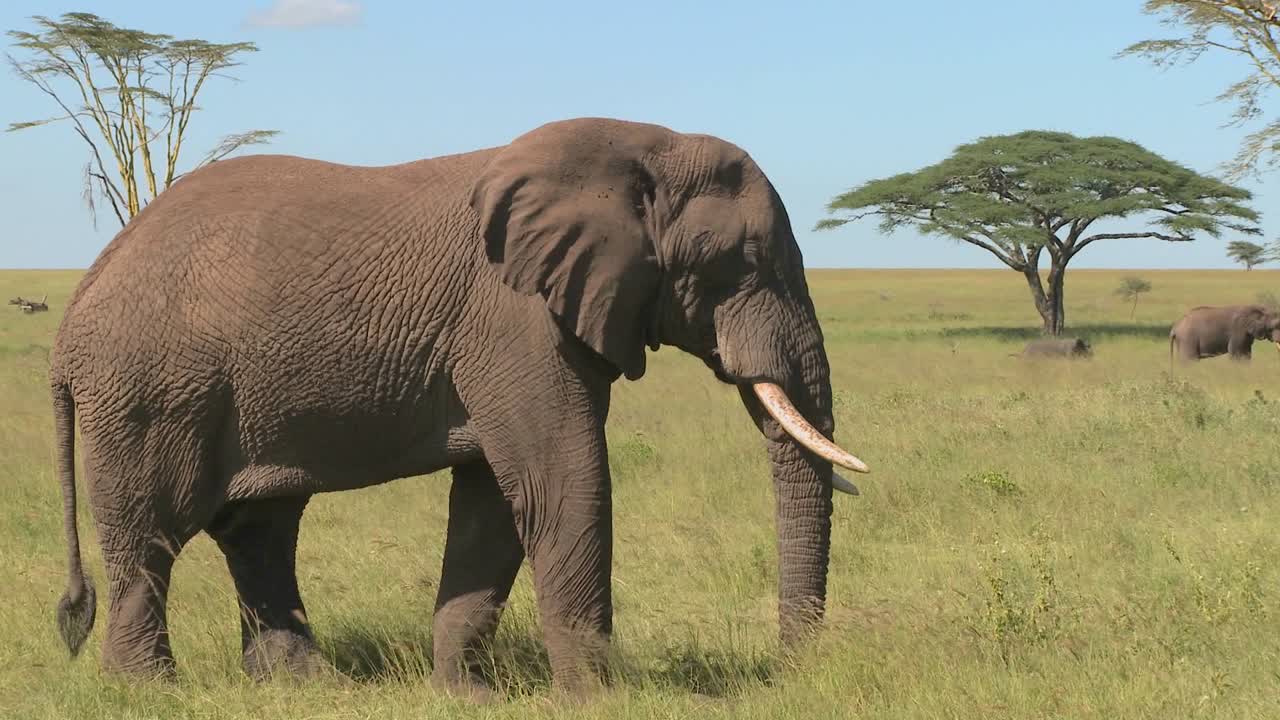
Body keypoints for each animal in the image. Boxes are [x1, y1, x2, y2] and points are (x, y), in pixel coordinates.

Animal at [47, 117, 869, 697]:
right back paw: (151, 692)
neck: (637, 145)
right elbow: (563, 481)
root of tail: (79, 299)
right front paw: (602, 700)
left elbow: (494, 502)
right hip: (148, 393)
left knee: (259, 529)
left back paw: (305, 688)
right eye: (746, 262)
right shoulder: (513, 319)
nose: (790, 670)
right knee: (153, 534)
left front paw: (466, 697)